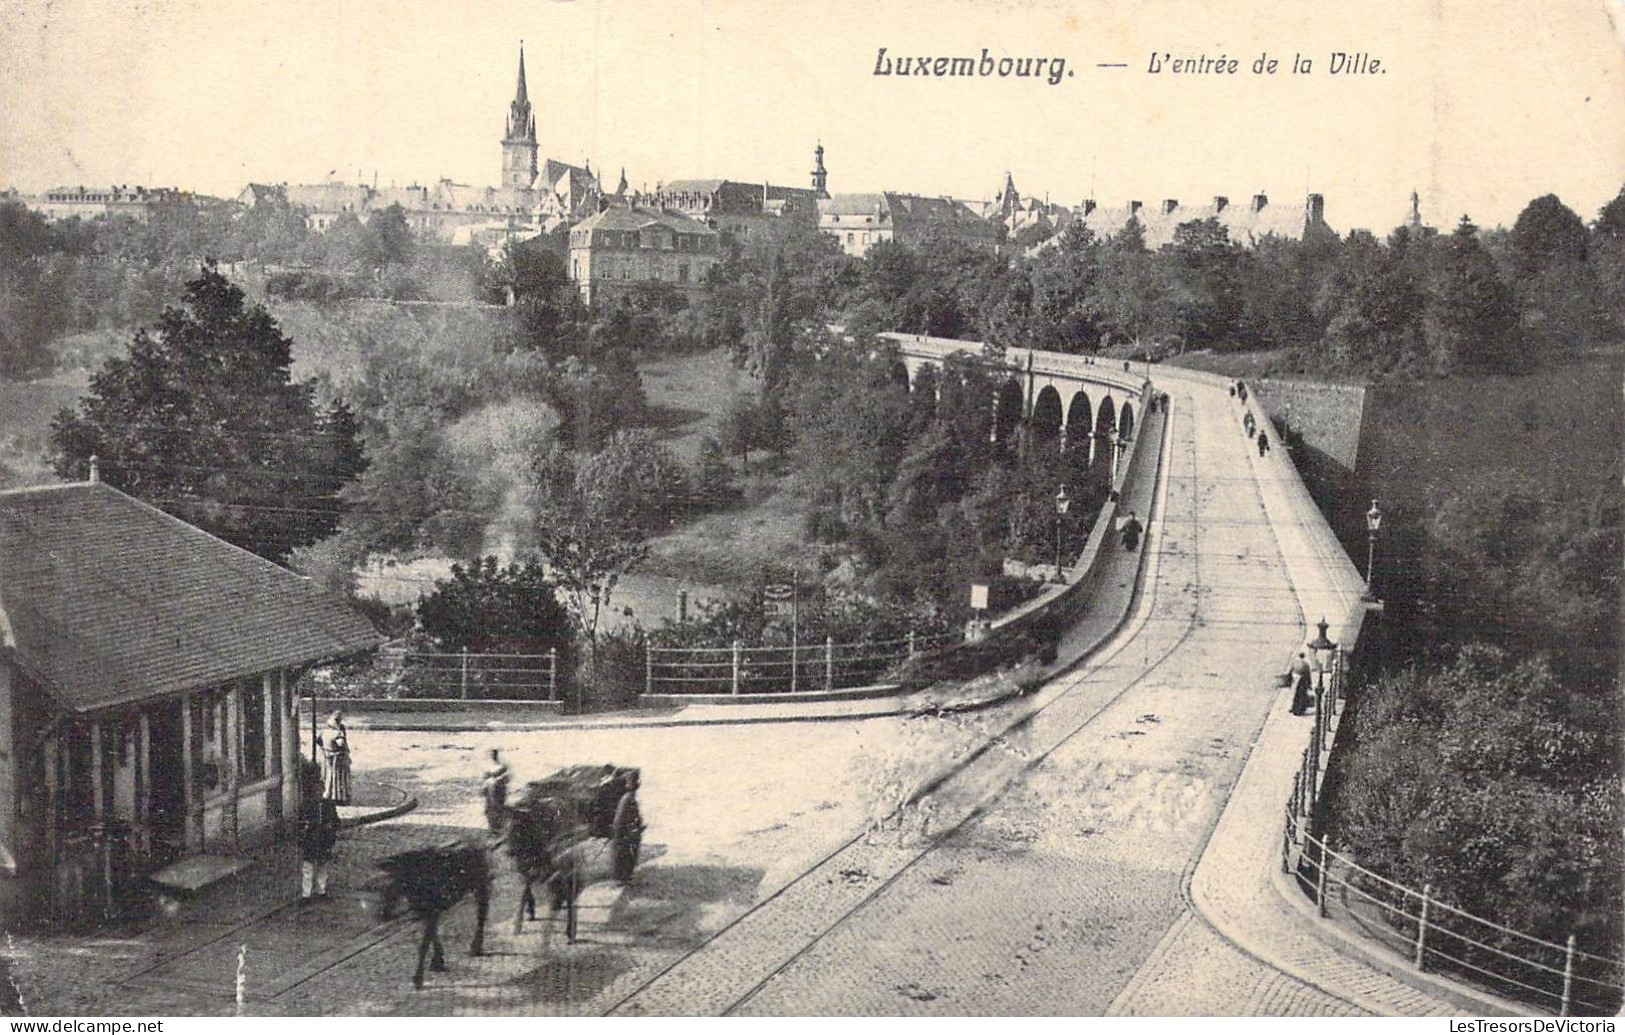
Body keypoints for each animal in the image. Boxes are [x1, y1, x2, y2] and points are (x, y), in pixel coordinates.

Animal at [373, 838, 487, 987]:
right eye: (381, 889)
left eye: (391, 886)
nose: (382, 915)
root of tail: (476, 843)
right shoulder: (425, 913)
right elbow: (433, 935)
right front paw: (437, 961)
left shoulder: (431, 912)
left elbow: (424, 944)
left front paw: (418, 978)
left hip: (481, 887)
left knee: (482, 916)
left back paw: (476, 947)